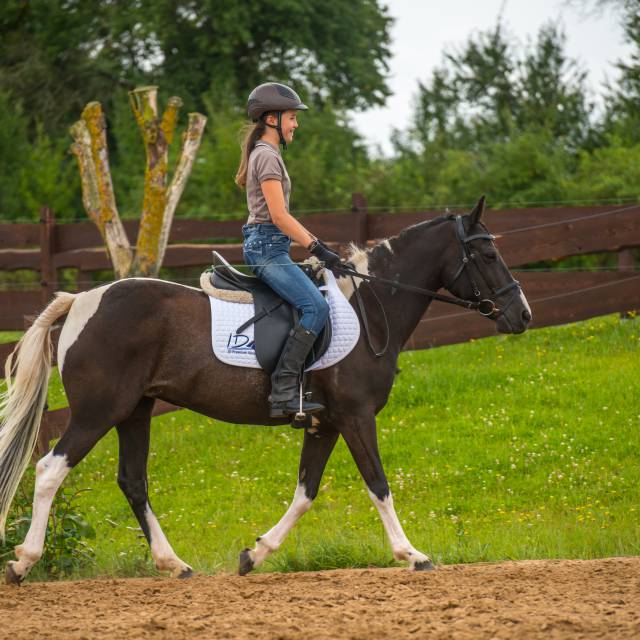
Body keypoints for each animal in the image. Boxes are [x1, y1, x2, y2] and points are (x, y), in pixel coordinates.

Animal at [1, 198, 528, 584]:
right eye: (487, 255)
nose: (521, 314)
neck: (369, 308)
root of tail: (81, 300)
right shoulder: (356, 417)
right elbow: (378, 484)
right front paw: (412, 554)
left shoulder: (323, 424)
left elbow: (305, 493)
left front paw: (255, 555)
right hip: (99, 411)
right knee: (50, 470)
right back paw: (23, 561)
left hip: (135, 411)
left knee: (133, 482)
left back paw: (175, 564)